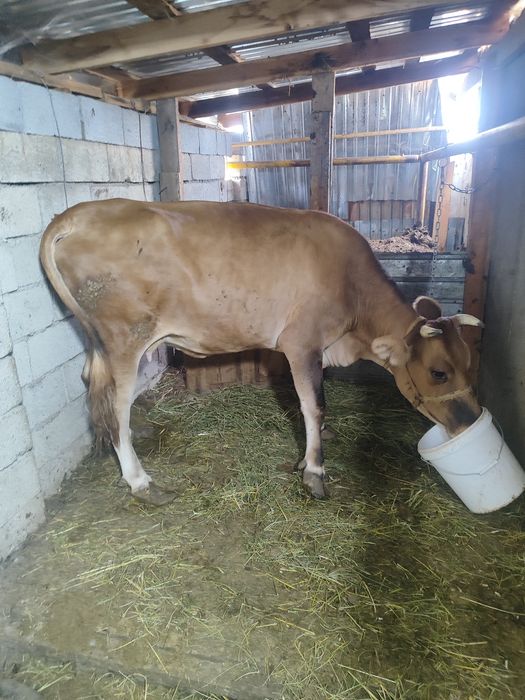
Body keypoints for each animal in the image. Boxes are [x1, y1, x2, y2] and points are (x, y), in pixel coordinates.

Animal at [40, 199, 483, 504]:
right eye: (439, 372)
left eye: (469, 364)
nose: (470, 420)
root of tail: (77, 214)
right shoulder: (301, 342)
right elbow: (314, 404)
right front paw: (315, 469)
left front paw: (312, 451)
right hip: (124, 338)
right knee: (116, 404)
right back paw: (140, 480)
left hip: (103, 342)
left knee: (96, 386)